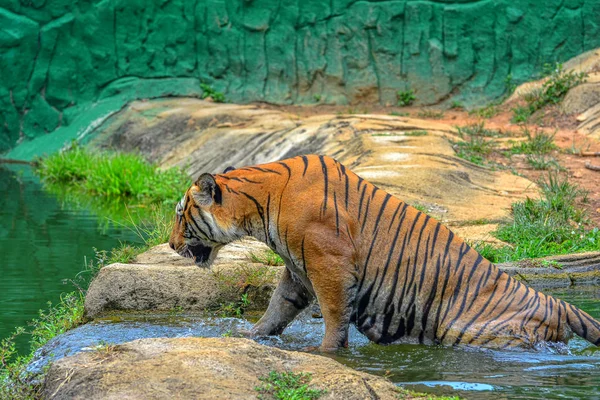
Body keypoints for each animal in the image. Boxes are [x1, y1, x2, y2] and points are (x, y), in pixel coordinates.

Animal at [169, 155, 600, 352]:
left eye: (179, 214)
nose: (171, 245)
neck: (258, 208)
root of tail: (558, 302)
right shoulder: (297, 270)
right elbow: (278, 308)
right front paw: (252, 336)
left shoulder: (329, 264)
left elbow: (333, 314)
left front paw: (325, 352)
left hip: (473, 332)